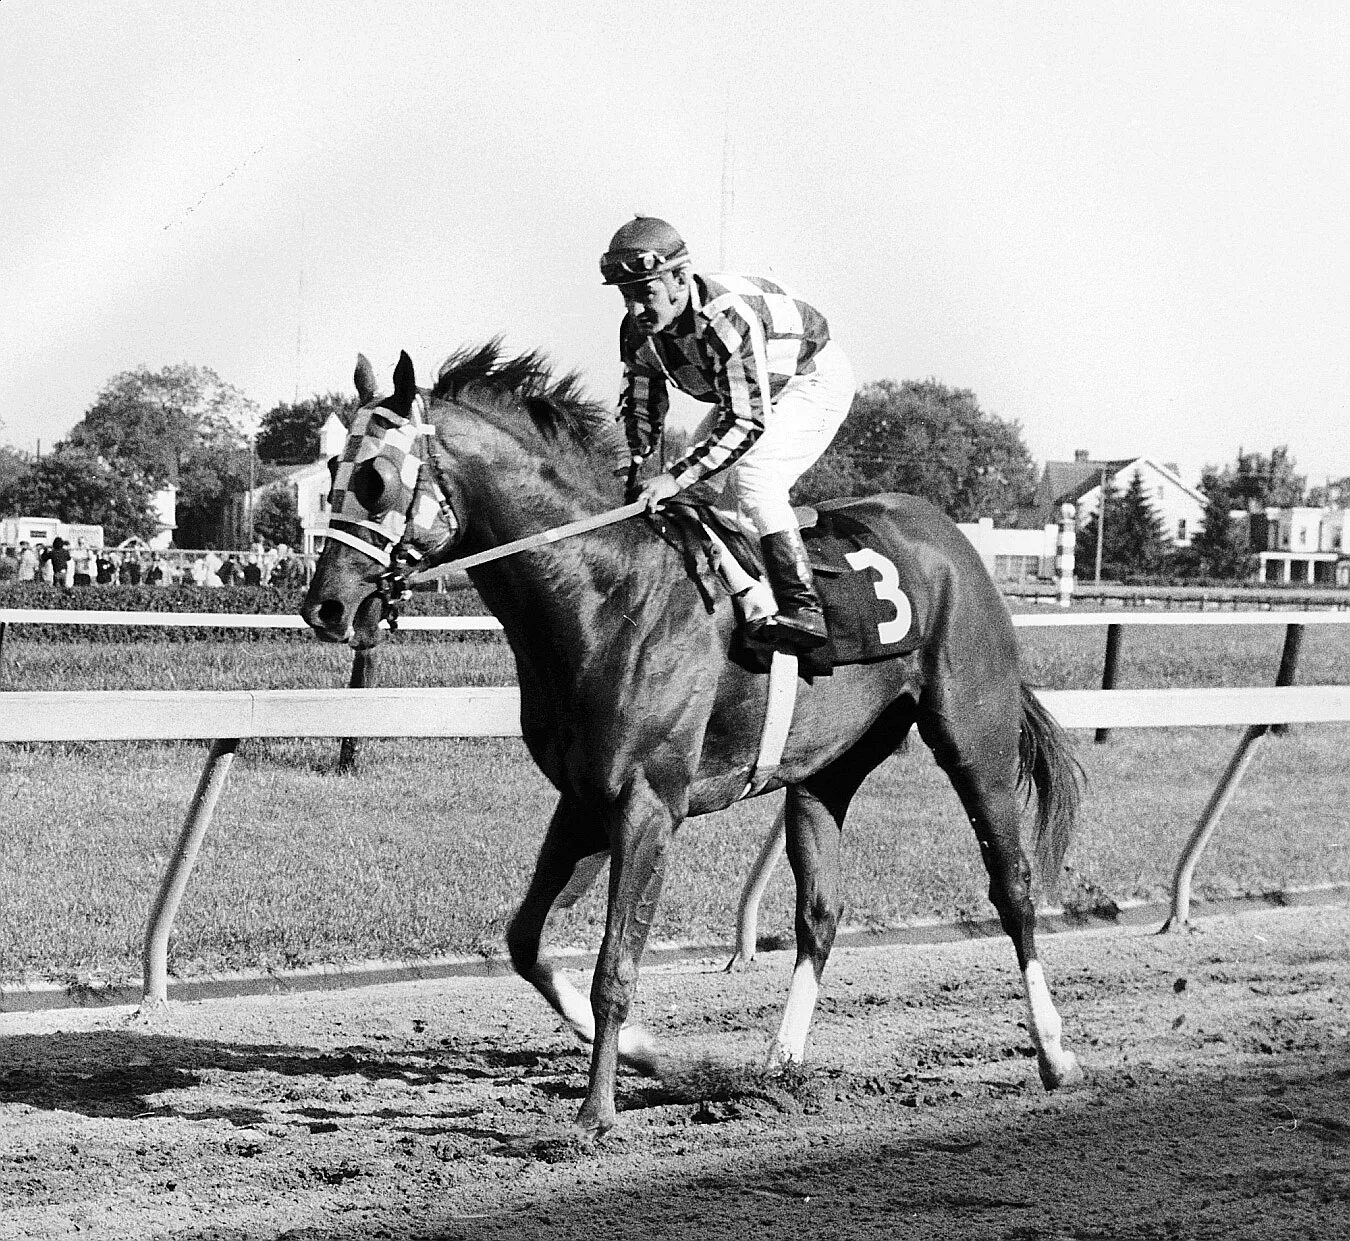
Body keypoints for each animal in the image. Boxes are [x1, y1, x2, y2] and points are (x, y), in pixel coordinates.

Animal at [303, 344, 1085, 1139]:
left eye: (374, 477)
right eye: (329, 471)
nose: (324, 605)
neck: (607, 591)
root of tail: (953, 537)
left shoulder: (648, 803)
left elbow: (615, 966)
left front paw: (595, 1112)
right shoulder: (582, 798)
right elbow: (525, 940)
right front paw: (649, 1053)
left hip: (973, 740)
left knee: (1013, 887)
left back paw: (1055, 1053)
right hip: (825, 771)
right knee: (820, 912)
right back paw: (779, 1066)